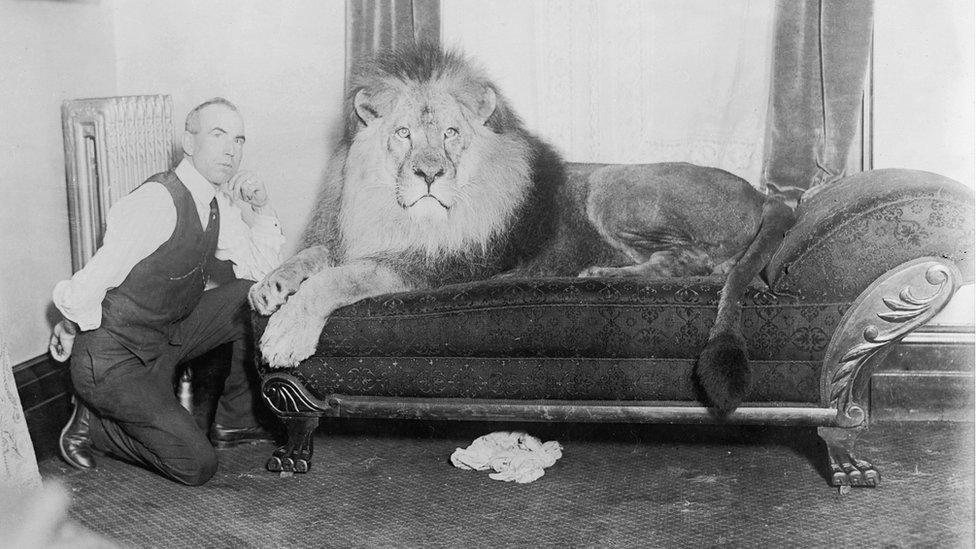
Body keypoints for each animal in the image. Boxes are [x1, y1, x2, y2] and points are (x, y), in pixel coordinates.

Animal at [250, 44, 792, 412]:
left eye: (451, 133)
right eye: (403, 134)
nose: (429, 174)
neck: (394, 213)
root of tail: (765, 195)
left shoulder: (434, 267)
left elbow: (340, 277)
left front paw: (286, 334)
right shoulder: (354, 236)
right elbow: (316, 256)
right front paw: (270, 285)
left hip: (610, 184)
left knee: (693, 262)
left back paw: (602, 276)